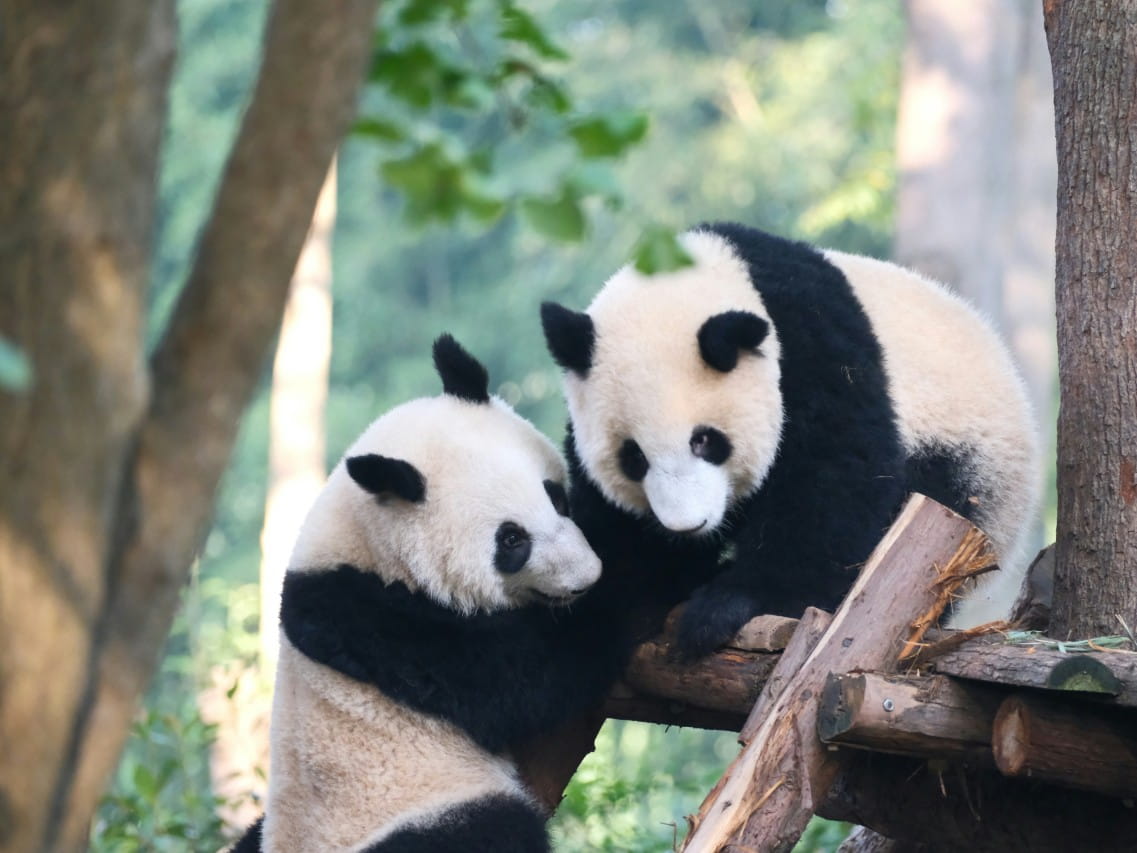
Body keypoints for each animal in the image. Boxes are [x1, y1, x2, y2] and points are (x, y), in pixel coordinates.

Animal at [233, 335, 632, 853]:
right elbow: (542, 668)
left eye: (556, 497)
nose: (586, 576)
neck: (364, 543)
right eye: (512, 541)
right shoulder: (379, 626)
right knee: (493, 828)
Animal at [541, 222, 1041, 660]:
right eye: (633, 457)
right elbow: (613, 531)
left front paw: (727, 605)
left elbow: (834, 485)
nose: (686, 526)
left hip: (965, 460)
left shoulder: (814, 349)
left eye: (705, 441)